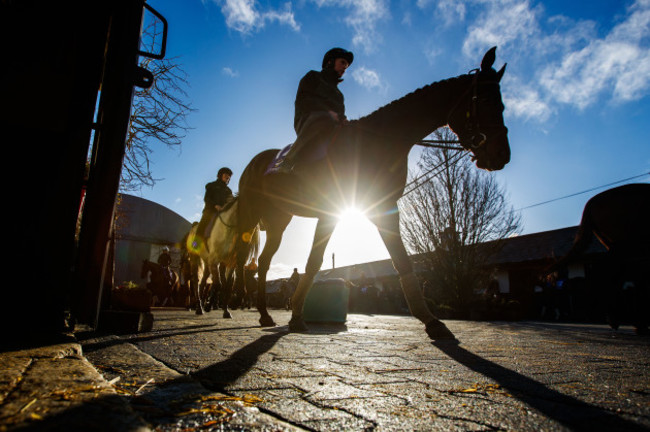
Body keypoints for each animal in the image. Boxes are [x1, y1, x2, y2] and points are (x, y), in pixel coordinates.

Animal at [233, 47, 512, 340]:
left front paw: (431, 320)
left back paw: (264, 314)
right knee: (241, 256)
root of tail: (256, 162)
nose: (501, 154)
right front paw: (297, 315)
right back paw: (236, 300)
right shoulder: (332, 212)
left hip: (279, 221)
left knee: (263, 262)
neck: (377, 142)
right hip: (251, 213)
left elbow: (402, 261)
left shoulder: (385, 208)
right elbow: (314, 262)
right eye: (485, 100)